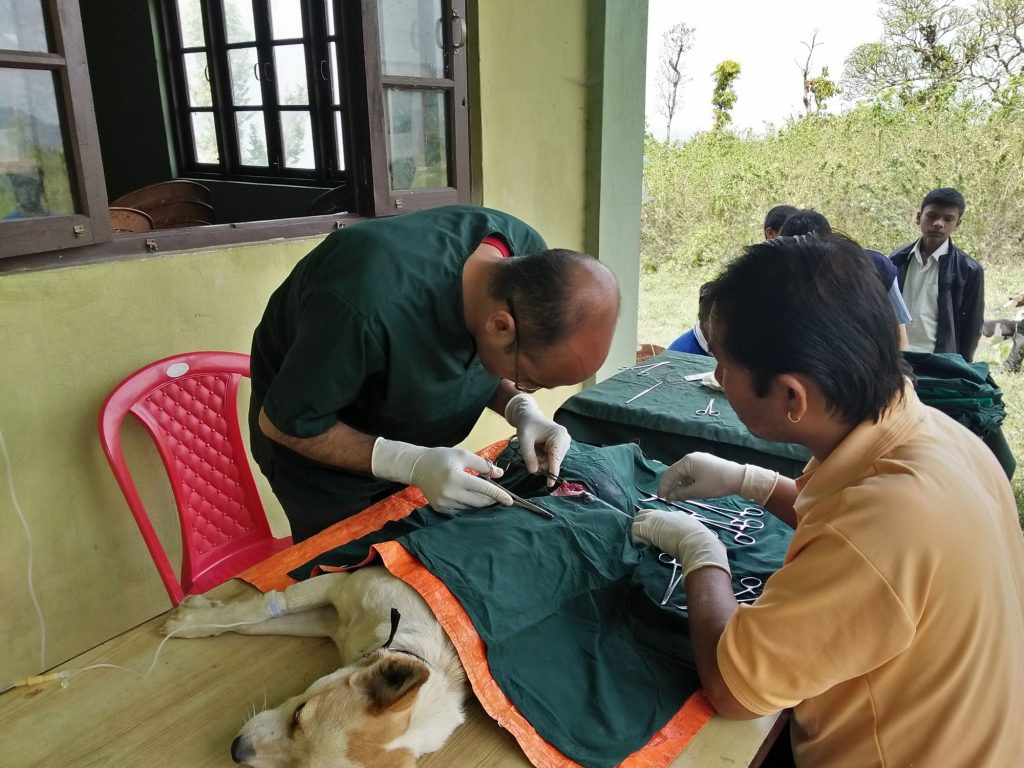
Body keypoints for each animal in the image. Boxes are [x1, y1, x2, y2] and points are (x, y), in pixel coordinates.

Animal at [162, 569, 468, 768]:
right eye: (299, 713)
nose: (236, 751)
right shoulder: (339, 584)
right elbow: (255, 613)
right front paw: (188, 622)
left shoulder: (329, 620)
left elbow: (255, 621)